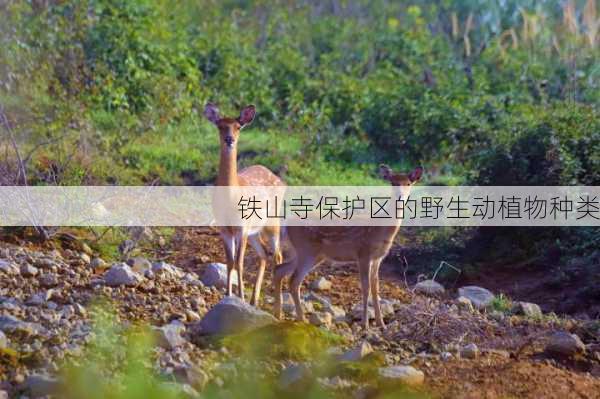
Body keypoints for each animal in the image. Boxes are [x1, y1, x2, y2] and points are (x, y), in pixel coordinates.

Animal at [203, 103, 284, 306]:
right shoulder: (225, 229)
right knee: (264, 254)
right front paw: (228, 295)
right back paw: (254, 300)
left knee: (278, 255)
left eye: (238, 127)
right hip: (255, 231)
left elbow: (239, 262)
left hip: (272, 223)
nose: (229, 139)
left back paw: (277, 304)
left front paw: (239, 296)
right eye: (220, 126)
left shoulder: (242, 227)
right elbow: (230, 261)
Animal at [272, 164, 422, 330]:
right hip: (307, 250)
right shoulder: (363, 253)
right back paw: (301, 318)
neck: (381, 230)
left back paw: (278, 314)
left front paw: (381, 324)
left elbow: (375, 287)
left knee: (279, 270)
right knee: (293, 280)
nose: (400, 196)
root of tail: (286, 223)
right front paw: (365, 325)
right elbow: (366, 287)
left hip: (311, 254)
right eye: (393, 183)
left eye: (408, 183)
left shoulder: (378, 258)